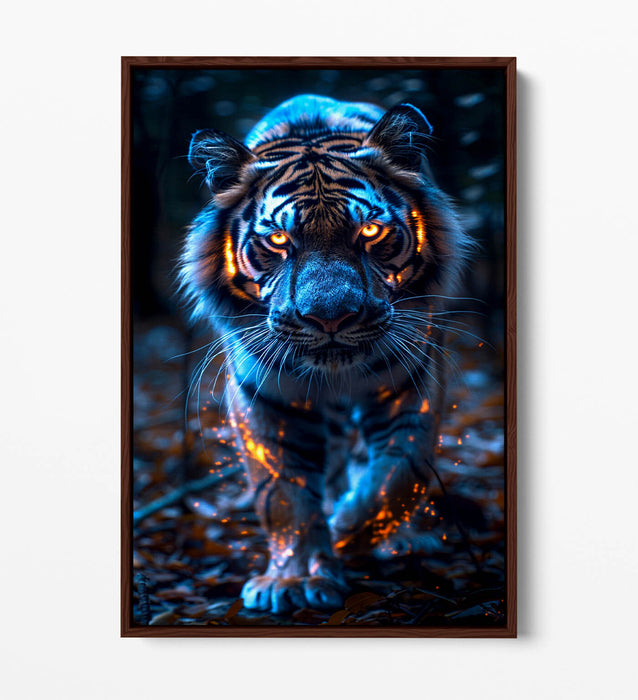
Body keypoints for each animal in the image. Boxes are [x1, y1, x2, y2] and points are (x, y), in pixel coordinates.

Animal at [179, 94, 471, 614]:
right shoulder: (264, 395)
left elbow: (400, 473)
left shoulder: (411, 378)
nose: (330, 318)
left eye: (371, 231)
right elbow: (283, 494)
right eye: (278, 240)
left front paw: (350, 529)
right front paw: (294, 580)